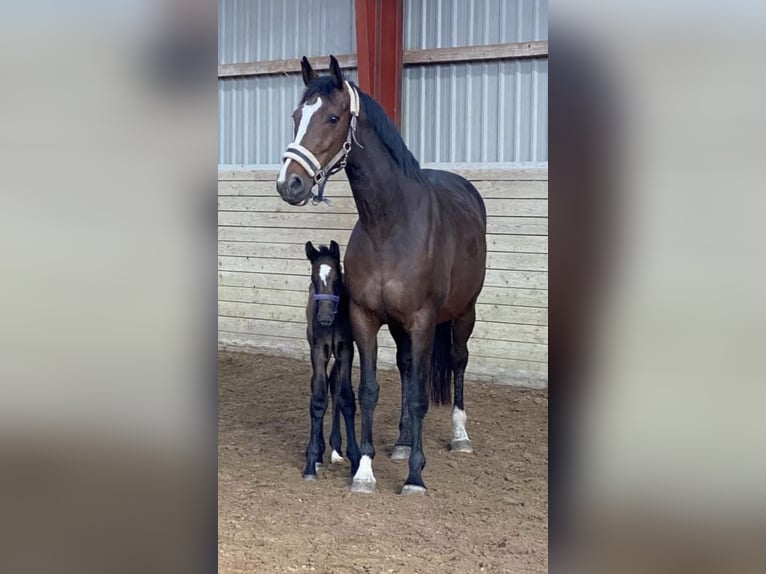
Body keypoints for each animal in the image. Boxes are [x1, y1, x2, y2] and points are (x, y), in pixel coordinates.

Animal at [302, 242, 362, 482]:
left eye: (337, 277)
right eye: (312, 277)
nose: (325, 317)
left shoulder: (346, 350)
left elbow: (346, 398)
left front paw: (355, 460)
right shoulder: (319, 351)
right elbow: (318, 398)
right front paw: (311, 461)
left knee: (335, 384)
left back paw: (336, 449)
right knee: (319, 384)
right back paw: (320, 452)